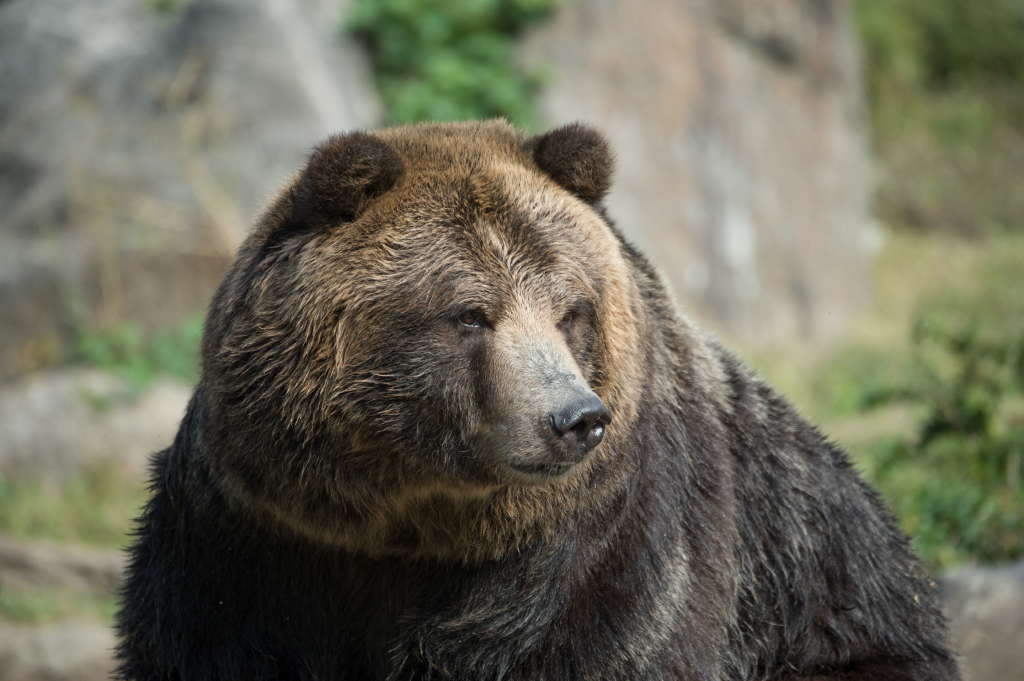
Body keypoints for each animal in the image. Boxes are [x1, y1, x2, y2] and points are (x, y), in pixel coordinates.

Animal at [116, 119, 962, 675]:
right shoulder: (252, 538)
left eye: (570, 309)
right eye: (470, 313)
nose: (574, 419)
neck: (406, 525)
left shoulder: (605, 556)